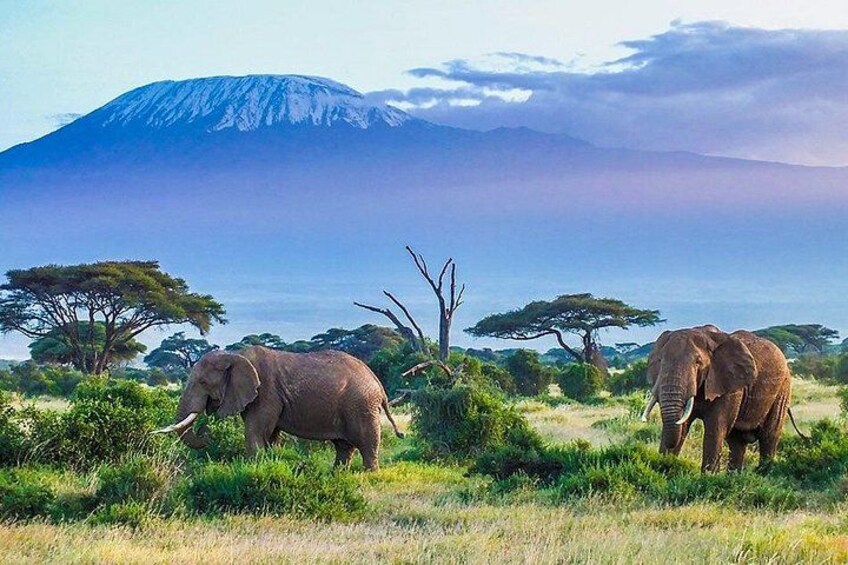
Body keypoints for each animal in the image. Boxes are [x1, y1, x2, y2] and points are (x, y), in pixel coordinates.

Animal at [153, 346, 404, 470]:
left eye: (203, 382)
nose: (206, 431)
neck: (234, 355)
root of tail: (378, 383)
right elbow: (270, 434)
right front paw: (268, 462)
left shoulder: (266, 392)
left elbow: (256, 431)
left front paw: (254, 468)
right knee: (343, 446)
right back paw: (337, 474)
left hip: (361, 405)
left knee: (366, 443)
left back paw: (369, 474)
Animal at [642, 325, 791, 472]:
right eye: (660, 361)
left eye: (698, 362)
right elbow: (682, 424)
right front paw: (663, 468)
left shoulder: (728, 385)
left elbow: (715, 427)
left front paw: (708, 476)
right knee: (737, 441)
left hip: (783, 389)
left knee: (769, 436)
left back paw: (763, 473)